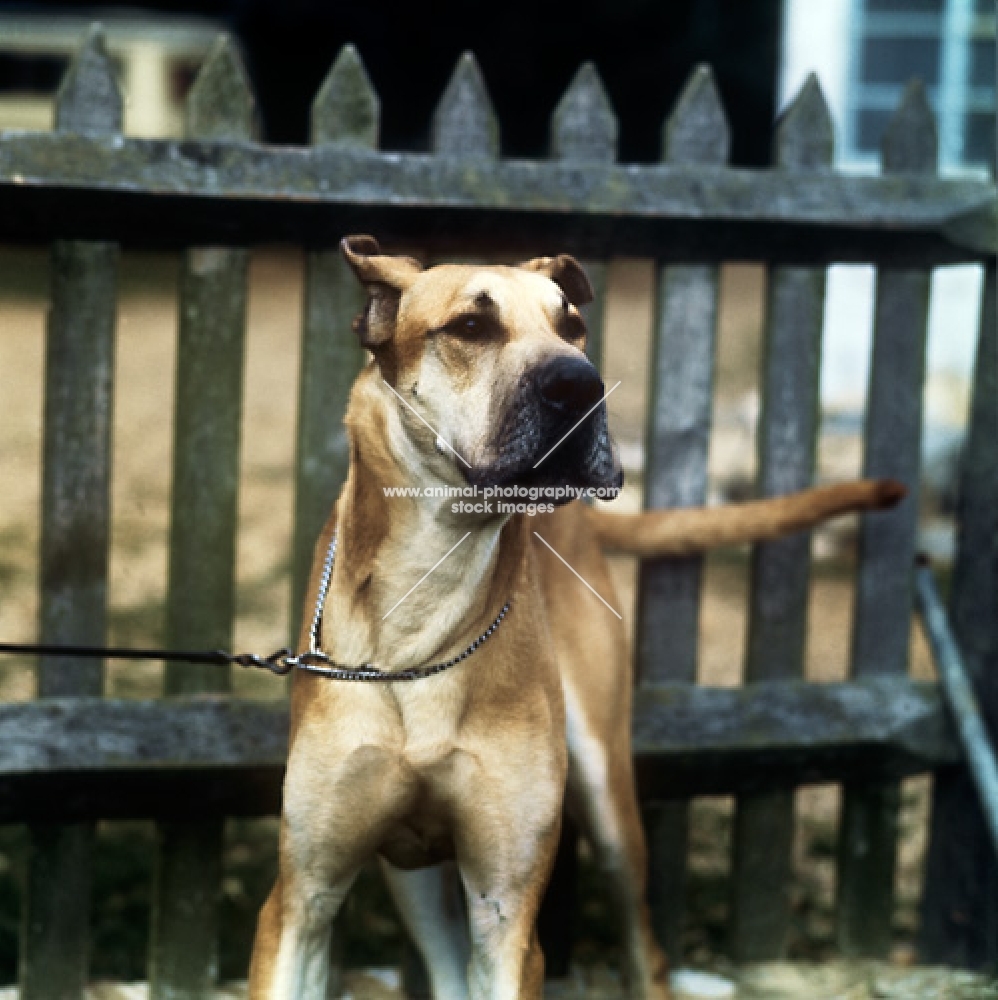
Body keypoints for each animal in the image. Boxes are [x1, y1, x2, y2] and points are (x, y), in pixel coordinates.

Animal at [248, 236, 900, 1000]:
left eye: (573, 326)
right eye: (471, 326)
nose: (585, 387)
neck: (425, 615)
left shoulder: (506, 914)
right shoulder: (301, 902)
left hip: (606, 796)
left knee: (642, 942)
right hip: (412, 877)